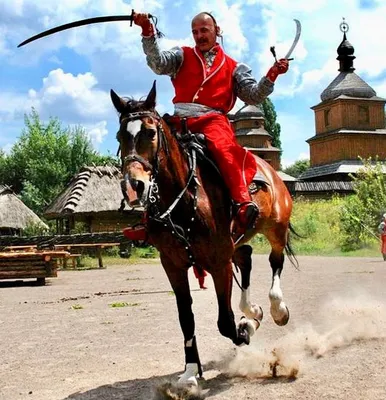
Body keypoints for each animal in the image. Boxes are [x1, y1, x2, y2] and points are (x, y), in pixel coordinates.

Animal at [110, 83, 298, 386]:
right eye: (120, 136)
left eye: (150, 133)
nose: (133, 186)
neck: (185, 200)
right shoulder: (173, 265)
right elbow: (186, 318)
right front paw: (189, 372)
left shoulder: (218, 263)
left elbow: (226, 322)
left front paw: (247, 328)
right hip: (236, 242)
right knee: (245, 257)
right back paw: (253, 309)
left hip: (275, 228)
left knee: (275, 261)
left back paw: (275, 309)